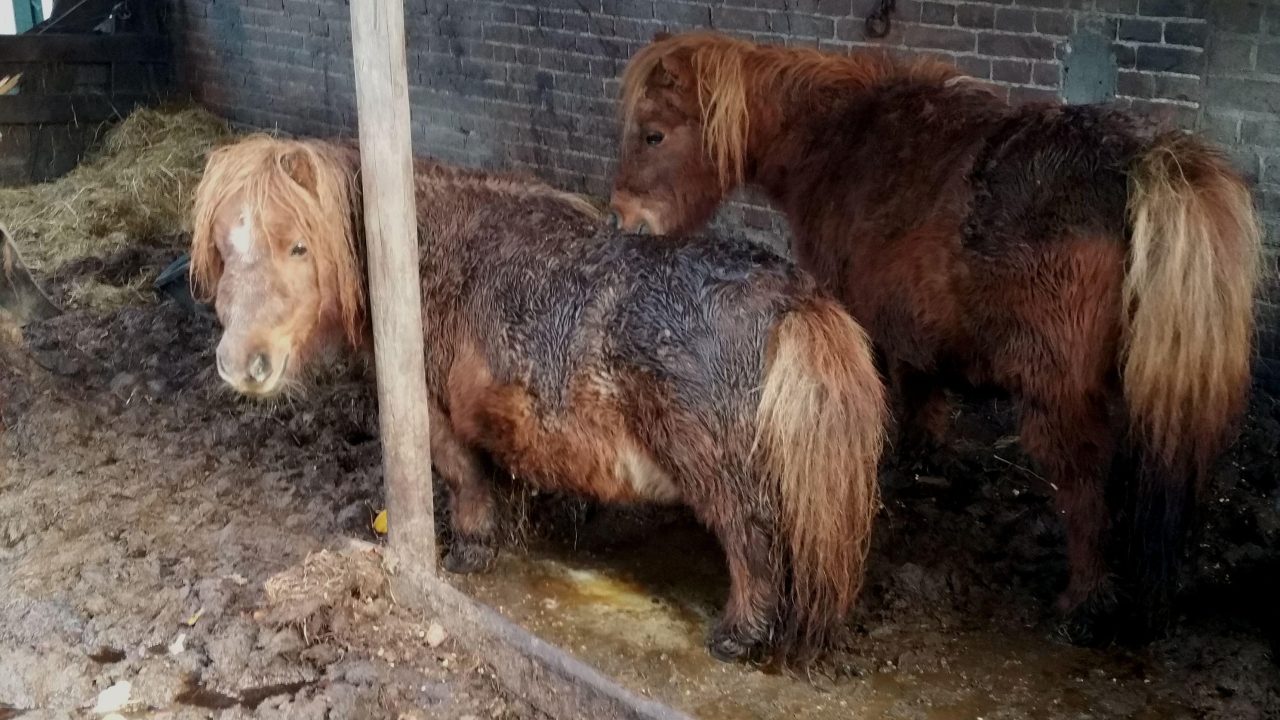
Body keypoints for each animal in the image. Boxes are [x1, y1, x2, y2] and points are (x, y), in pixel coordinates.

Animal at [189, 134, 888, 665]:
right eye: (222, 247)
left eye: (298, 245)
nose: (242, 365)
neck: (417, 258)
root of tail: (795, 301)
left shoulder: (435, 415)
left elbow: (465, 480)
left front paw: (471, 551)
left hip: (724, 478)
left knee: (753, 548)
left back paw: (737, 637)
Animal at [609, 31, 1262, 644]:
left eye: (653, 135)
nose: (624, 219)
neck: (840, 142)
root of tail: (1144, 160)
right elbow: (925, 404)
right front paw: (928, 469)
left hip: (1058, 397)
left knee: (1082, 488)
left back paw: (1083, 606)